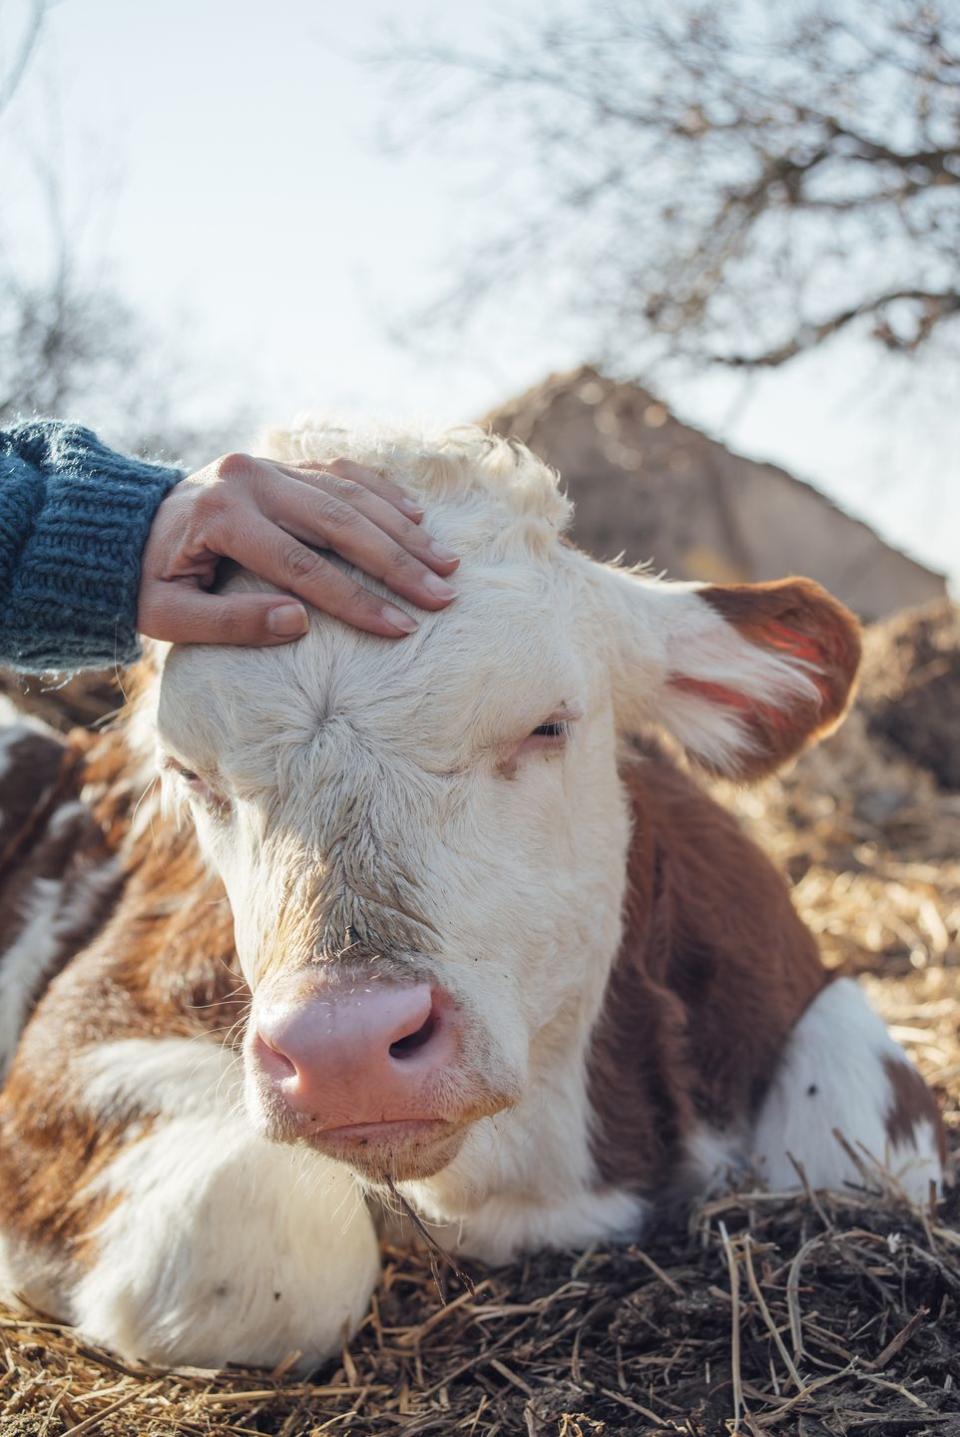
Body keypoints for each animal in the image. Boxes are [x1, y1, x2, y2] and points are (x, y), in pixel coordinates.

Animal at [0, 419, 942, 1362]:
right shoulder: (79, 1044)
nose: (344, 1048)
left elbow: (865, 1142)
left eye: (549, 725)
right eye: (192, 776)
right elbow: (265, 1234)